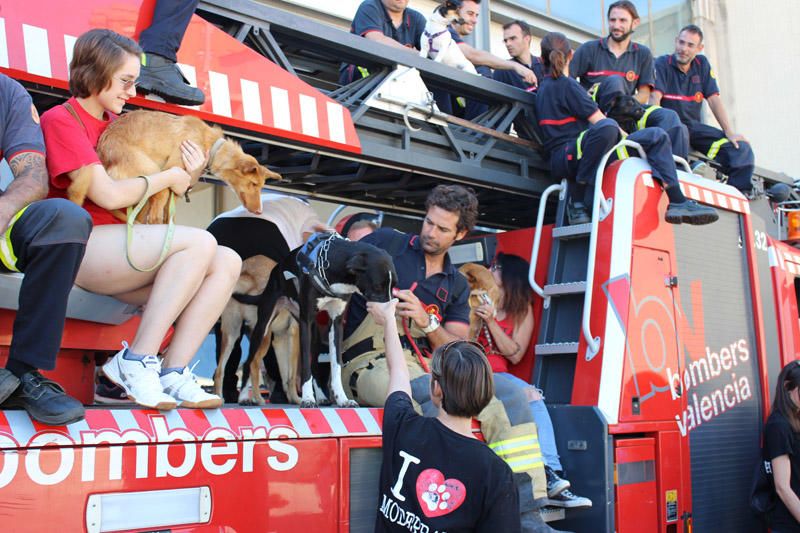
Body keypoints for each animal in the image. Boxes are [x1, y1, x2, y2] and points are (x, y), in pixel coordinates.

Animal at [69, 110, 282, 222]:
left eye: (261, 186)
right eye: (253, 184)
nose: (260, 211)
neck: (209, 143)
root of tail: (103, 153)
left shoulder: (176, 192)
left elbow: (168, 217)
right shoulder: (172, 170)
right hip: (154, 177)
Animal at [234, 232, 396, 408]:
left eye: (394, 285)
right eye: (378, 286)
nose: (389, 314)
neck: (331, 265)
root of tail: (277, 267)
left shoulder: (336, 323)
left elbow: (336, 365)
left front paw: (342, 399)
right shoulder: (305, 323)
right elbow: (305, 366)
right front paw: (307, 399)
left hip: (314, 333)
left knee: (315, 364)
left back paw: (321, 396)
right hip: (263, 328)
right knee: (249, 362)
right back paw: (244, 397)